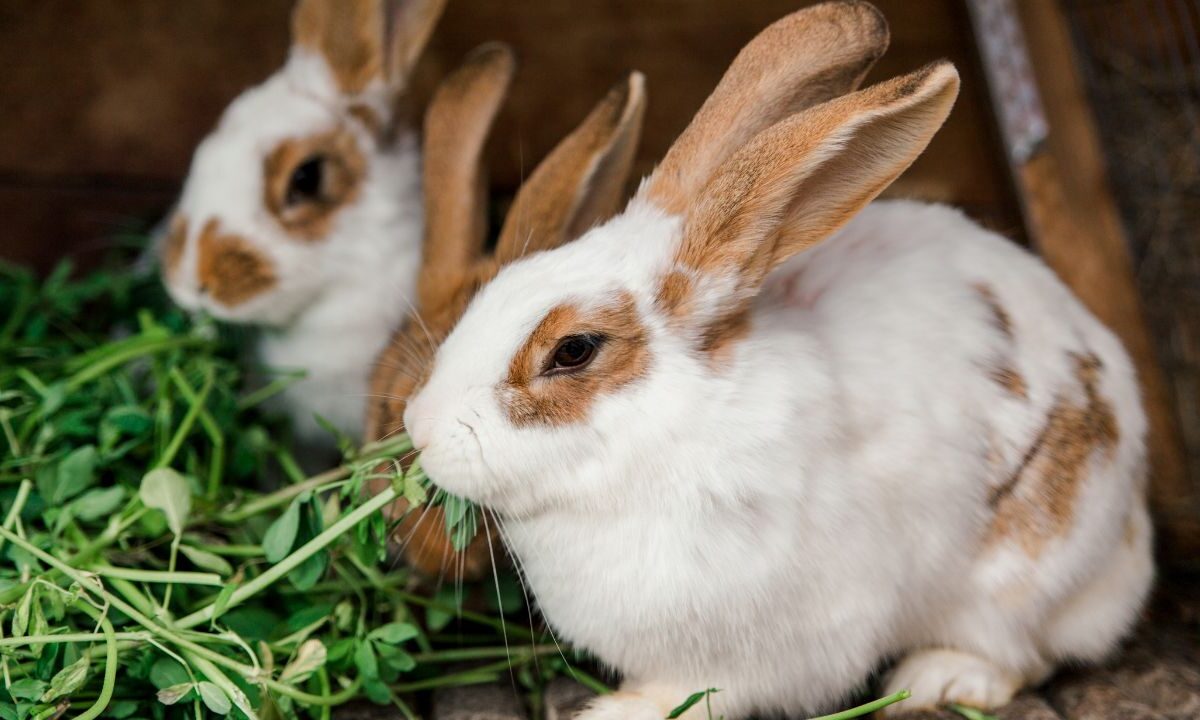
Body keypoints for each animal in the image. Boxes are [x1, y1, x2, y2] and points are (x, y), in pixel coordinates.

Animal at [400, 2, 1152, 715]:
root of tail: (1134, 534)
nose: (419, 428)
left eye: (572, 350)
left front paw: (619, 711)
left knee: (1023, 650)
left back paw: (941, 678)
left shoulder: (775, 642)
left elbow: (706, 692)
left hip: (1023, 571)